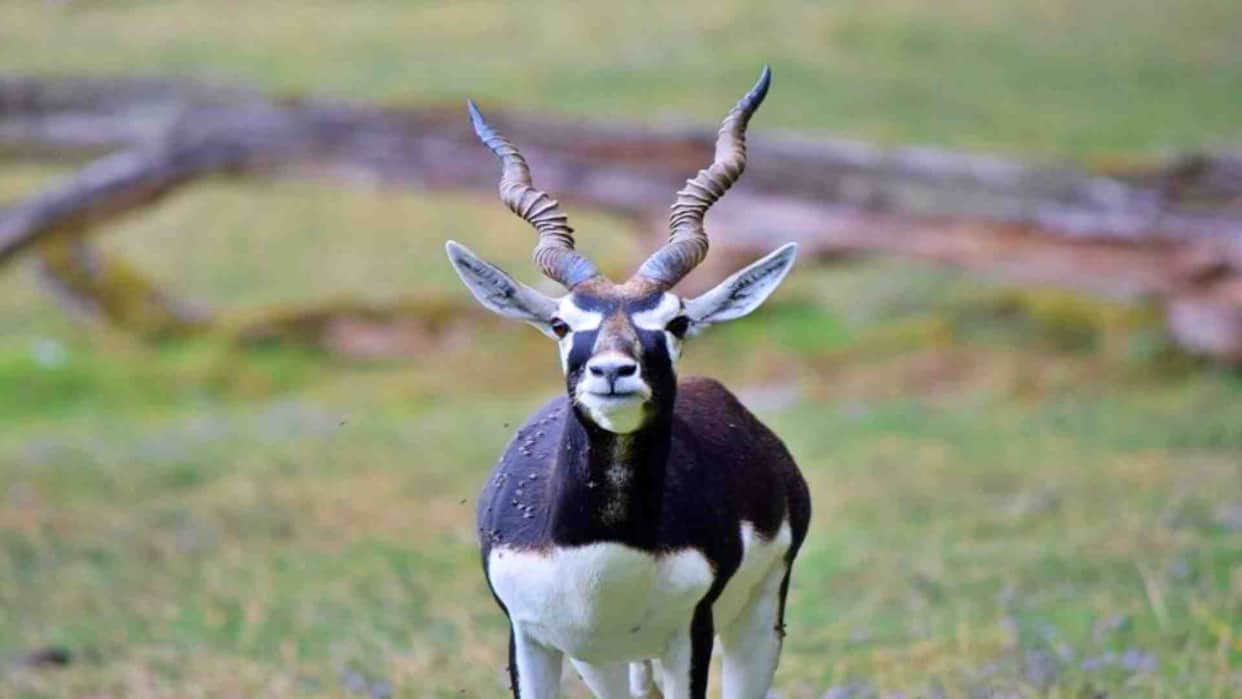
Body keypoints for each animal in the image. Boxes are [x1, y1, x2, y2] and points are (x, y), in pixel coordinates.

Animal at [444, 67, 811, 699]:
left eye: (677, 321)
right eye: (561, 323)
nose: (613, 371)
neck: (603, 551)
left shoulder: (691, 634)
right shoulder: (530, 638)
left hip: (756, 623)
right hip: (607, 661)